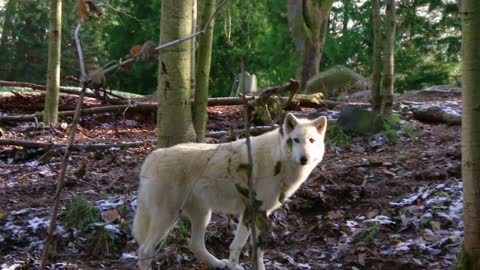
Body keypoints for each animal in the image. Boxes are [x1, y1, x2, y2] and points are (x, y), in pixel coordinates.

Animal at [133, 113, 328, 268]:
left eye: (311, 141)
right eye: (295, 140)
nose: (304, 158)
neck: (278, 159)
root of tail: (152, 156)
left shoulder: (258, 213)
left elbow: (255, 250)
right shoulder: (252, 211)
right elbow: (239, 246)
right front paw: (235, 267)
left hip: (202, 215)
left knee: (195, 245)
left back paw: (218, 264)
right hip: (168, 218)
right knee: (144, 250)